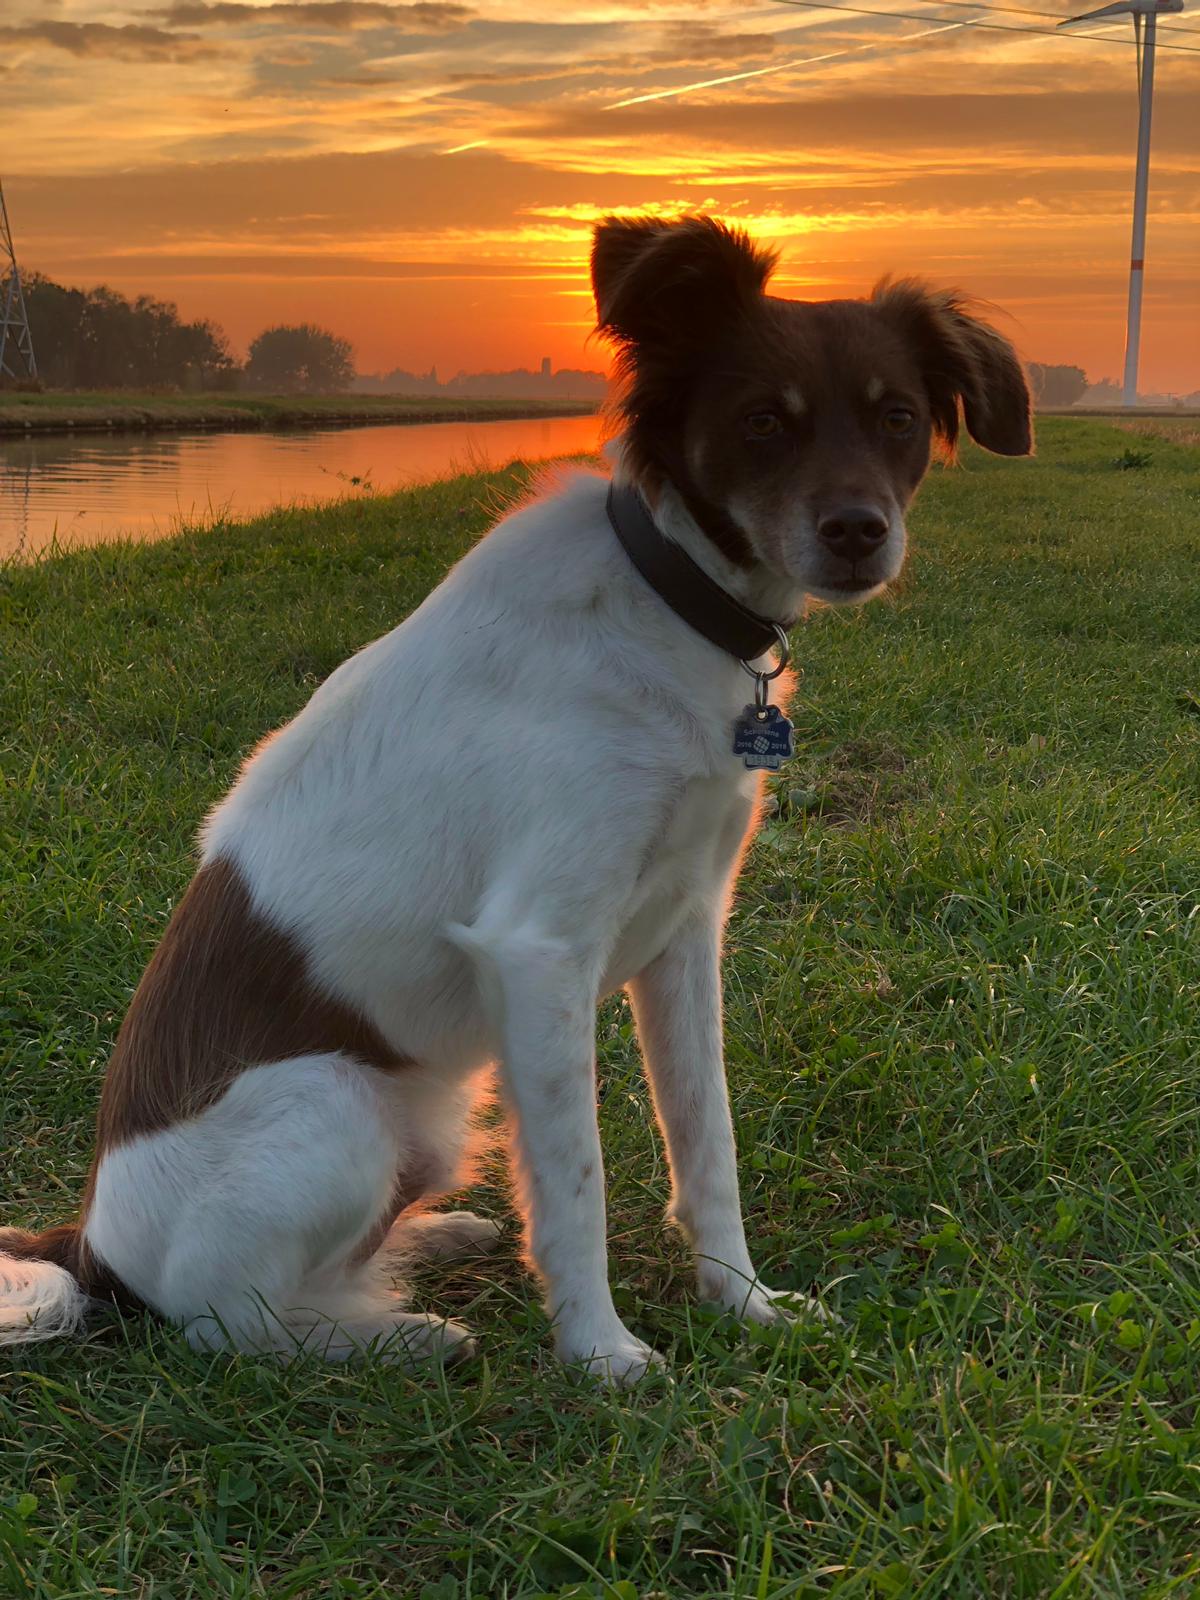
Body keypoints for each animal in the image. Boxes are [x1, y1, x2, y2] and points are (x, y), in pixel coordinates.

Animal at [0, 215, 1031, 1380]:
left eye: (897, 417)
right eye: (764, 421)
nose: (859, 531)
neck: (664, 604)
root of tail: (91, 1245)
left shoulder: (687, 928)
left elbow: (707, 1141)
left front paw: (743, 1300)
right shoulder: (541, 949)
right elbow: (576, 1185)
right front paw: (601, 1355)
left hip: (428, 1119)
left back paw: (430, 1241)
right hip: (338, 1103)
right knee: (232, 1324)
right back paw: (399, 1336)